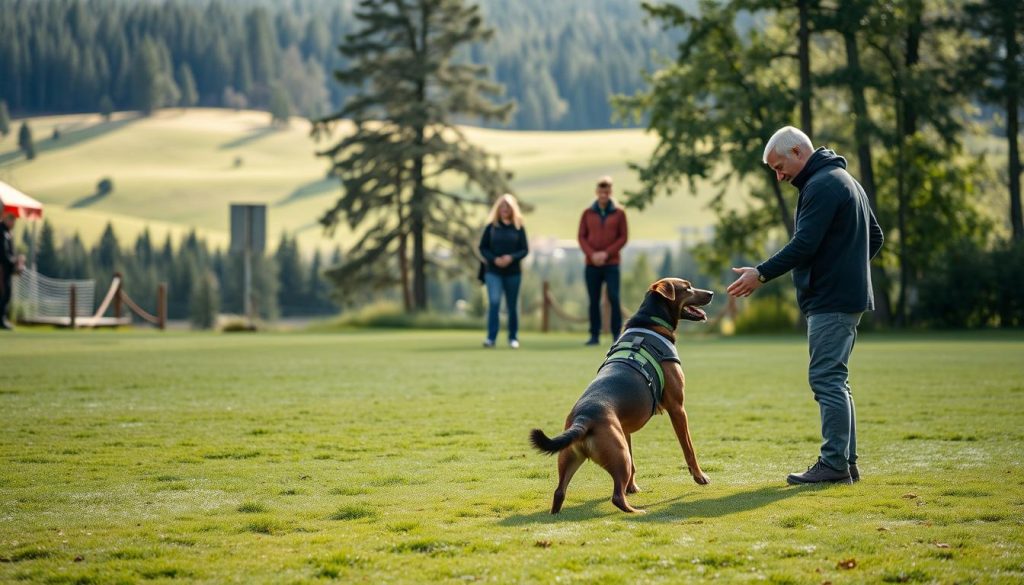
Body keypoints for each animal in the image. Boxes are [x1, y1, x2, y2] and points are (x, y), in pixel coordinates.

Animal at [532, 278, 716, 512]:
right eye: (687, 287)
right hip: (619, 456)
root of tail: (584, 418)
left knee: (559, 493)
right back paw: (636, 511)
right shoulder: (677, 408)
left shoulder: (625, 428)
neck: (649, 323)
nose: (710, 293)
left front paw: (633, 487)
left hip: (570, 457)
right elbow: (689, 449)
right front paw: (700, 476)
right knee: (616, 497)